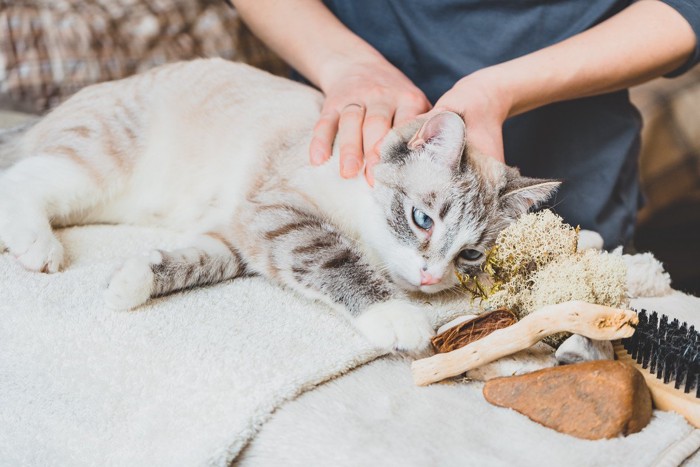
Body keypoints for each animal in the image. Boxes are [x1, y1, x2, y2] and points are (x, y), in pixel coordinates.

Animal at [0, 57, 556, 352]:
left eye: (470, 256)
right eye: (422, 220)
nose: (430, 278)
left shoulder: (240, 235)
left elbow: (189, 263)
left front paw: (127, 285)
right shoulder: (282, 214)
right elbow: (337, 260)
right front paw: (399, 318)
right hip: (97, 168)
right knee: (19, 178)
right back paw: (36, 247)